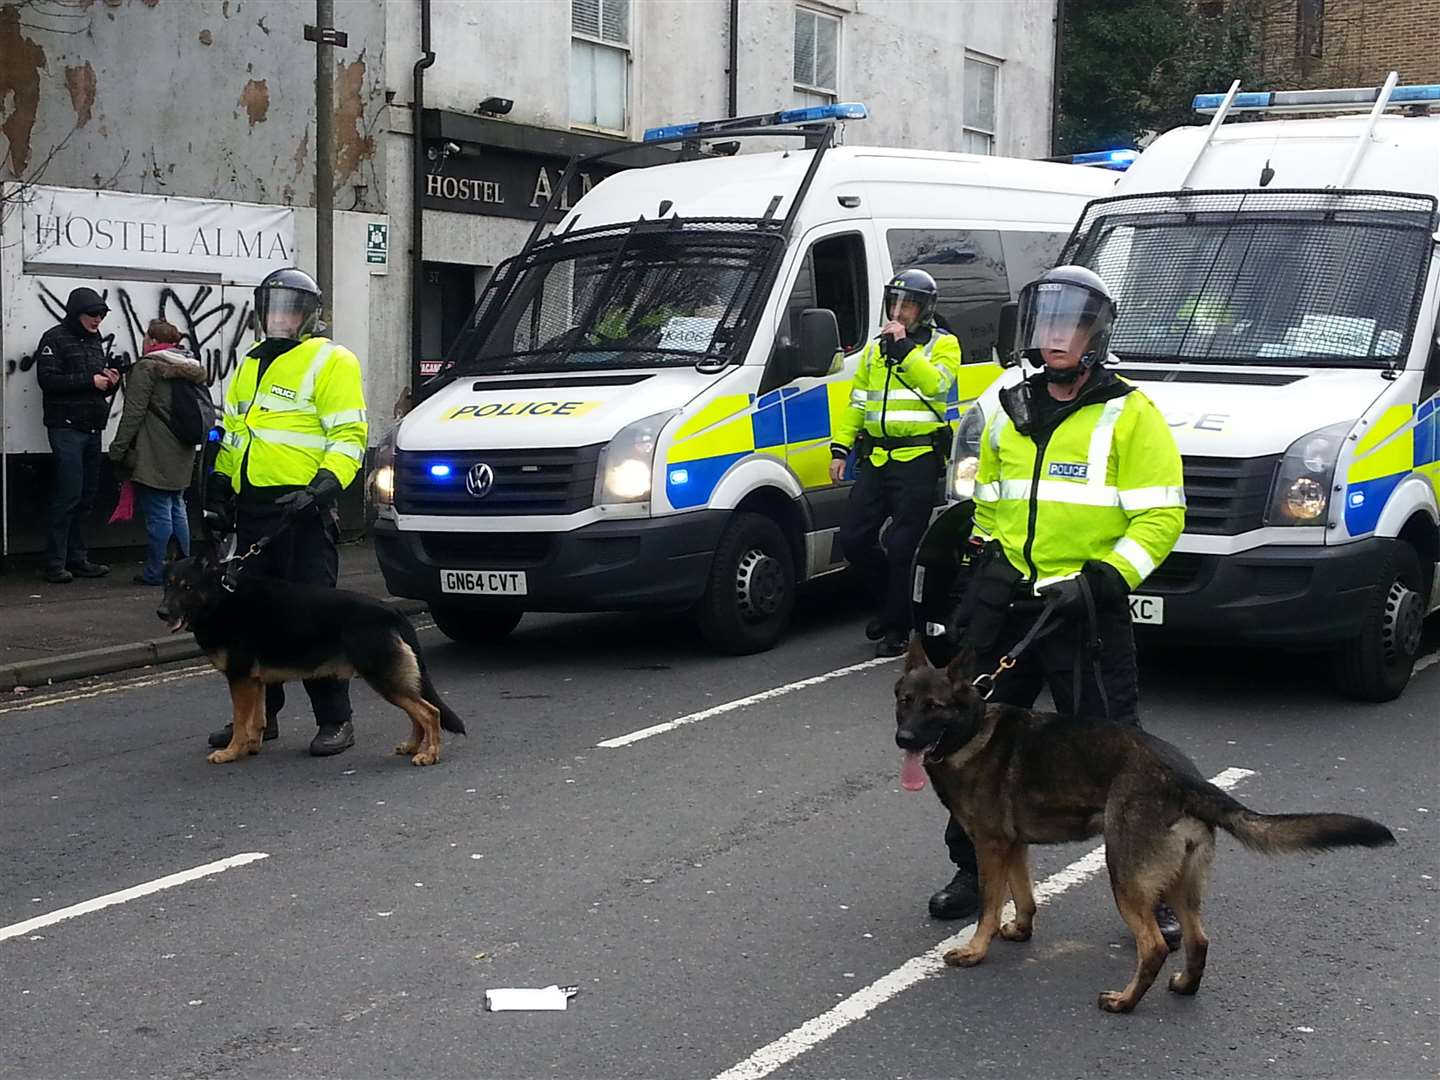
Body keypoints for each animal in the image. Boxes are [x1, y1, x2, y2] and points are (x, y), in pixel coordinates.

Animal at [158, 541, 463, 771]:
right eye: (168, 584)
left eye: (187, 587)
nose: (161, 613)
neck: (220, 599)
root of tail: (392, 611)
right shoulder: (254, 682)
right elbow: (257, 719)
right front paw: (251, 747)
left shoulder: (240, 679)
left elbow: (241, 723)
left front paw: (231, 752)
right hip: (392, 680)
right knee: (417, 713)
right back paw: (412, 746)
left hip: (384, 678)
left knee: (430, 712)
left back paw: (430, 754)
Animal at [892, 639, 1388, 1013]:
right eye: (904, 702)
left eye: (934, 707)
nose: (903, 739)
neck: (971, 731)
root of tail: (1185, 778)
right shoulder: (1014, 846)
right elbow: (1024, 895)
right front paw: (1021, 930)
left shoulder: (991, 846)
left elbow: (990, 905)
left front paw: (977, 950)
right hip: (1181, 883)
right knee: (1199, 939)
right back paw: (1185, 986)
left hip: (1124, 873)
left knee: (1153, 946)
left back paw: (1125, 1002)